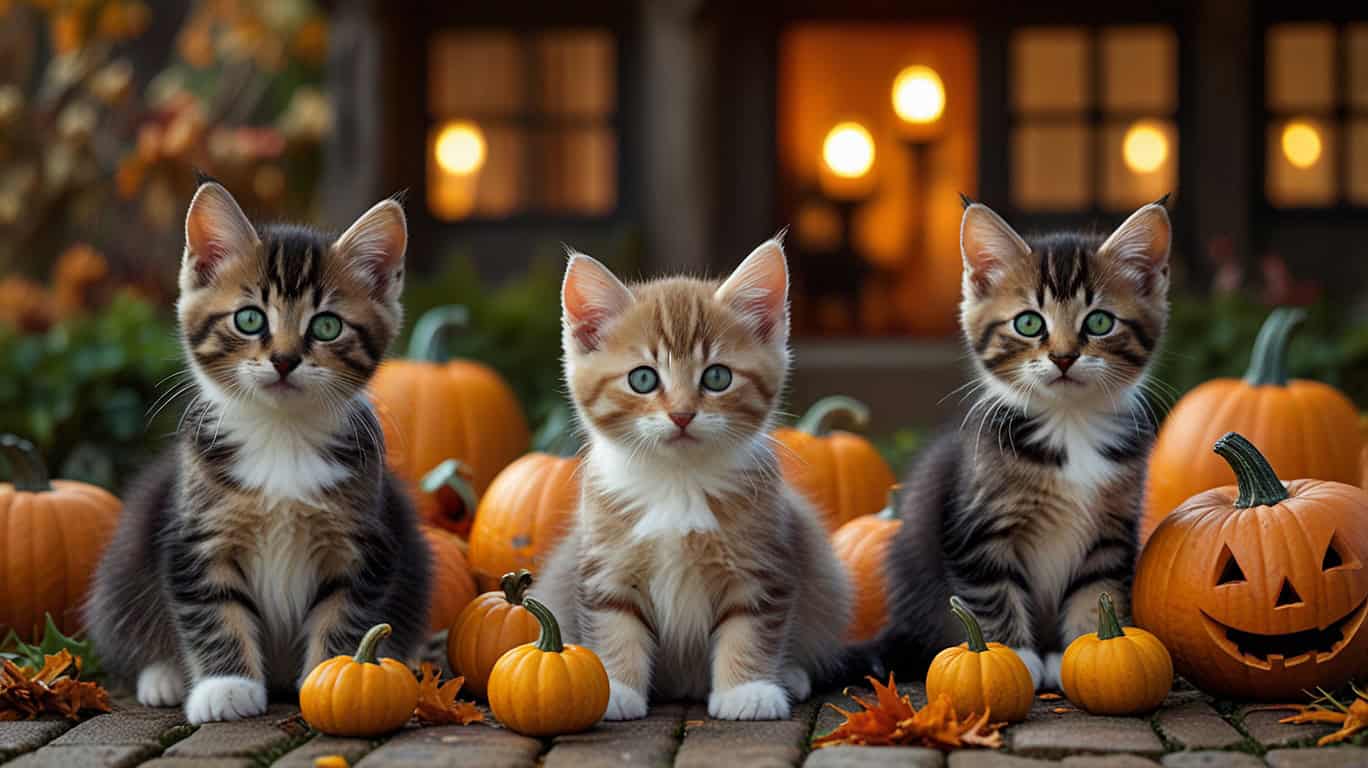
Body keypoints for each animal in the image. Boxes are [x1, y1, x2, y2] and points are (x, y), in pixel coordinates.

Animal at [86, 182, 426, 722]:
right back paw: (163, 677)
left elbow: (347, 616)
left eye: (326, 327)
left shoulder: (363, 542)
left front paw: (338, 675)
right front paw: (226, 687)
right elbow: (212, 611)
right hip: (123, 569)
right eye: (249, 319)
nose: (285, 360)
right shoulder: (197, 536)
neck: (280, 435)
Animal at [536, 243, 848, 717]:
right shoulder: (606, 567)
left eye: (717, 376)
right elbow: (613, 624)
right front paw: (615, 688)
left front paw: (747, 690)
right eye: (643, 378)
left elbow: (750, 627)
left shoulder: (762, 563)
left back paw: (790, 674)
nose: (682, 414)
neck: (677, 481)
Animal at [848, 195, 1171, 689]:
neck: (1069, 425)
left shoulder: (1111, 531)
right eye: (1029, 323)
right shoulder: (977, 529)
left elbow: (1097, 593)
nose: (1063, 356)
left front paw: (1092, 645)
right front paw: (1011, 655)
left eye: (1099, 322)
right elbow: (991, 594)